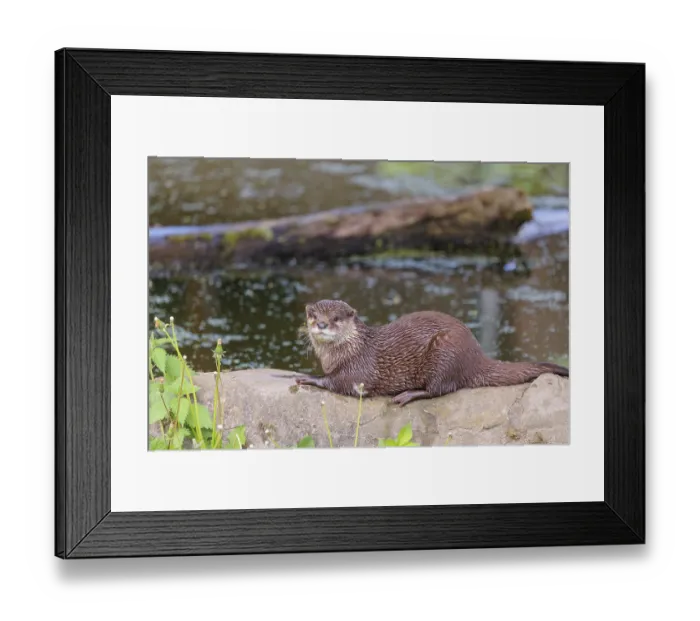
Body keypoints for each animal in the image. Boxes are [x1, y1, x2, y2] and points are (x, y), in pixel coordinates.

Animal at [294, 299, 569, 407]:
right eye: (313, 316)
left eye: (336, 318)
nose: (321, 324)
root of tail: (477, 356)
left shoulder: (360, 368)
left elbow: (340, 382)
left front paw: (309, 377)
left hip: (445, 352)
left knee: (440, 389)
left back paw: (407, 395)